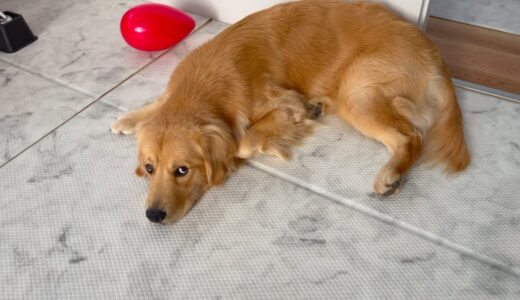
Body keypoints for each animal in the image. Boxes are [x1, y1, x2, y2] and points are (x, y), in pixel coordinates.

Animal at [111, 0, 470, 224]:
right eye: (149, 168)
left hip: (356, 92)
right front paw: (127, 118)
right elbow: (159, 101)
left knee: (411, 135)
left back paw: (390, 174)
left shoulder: (282, 102)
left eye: (182, 171)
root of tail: (430, 48)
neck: (203, 87)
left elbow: (243, 142)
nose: (153, 216)